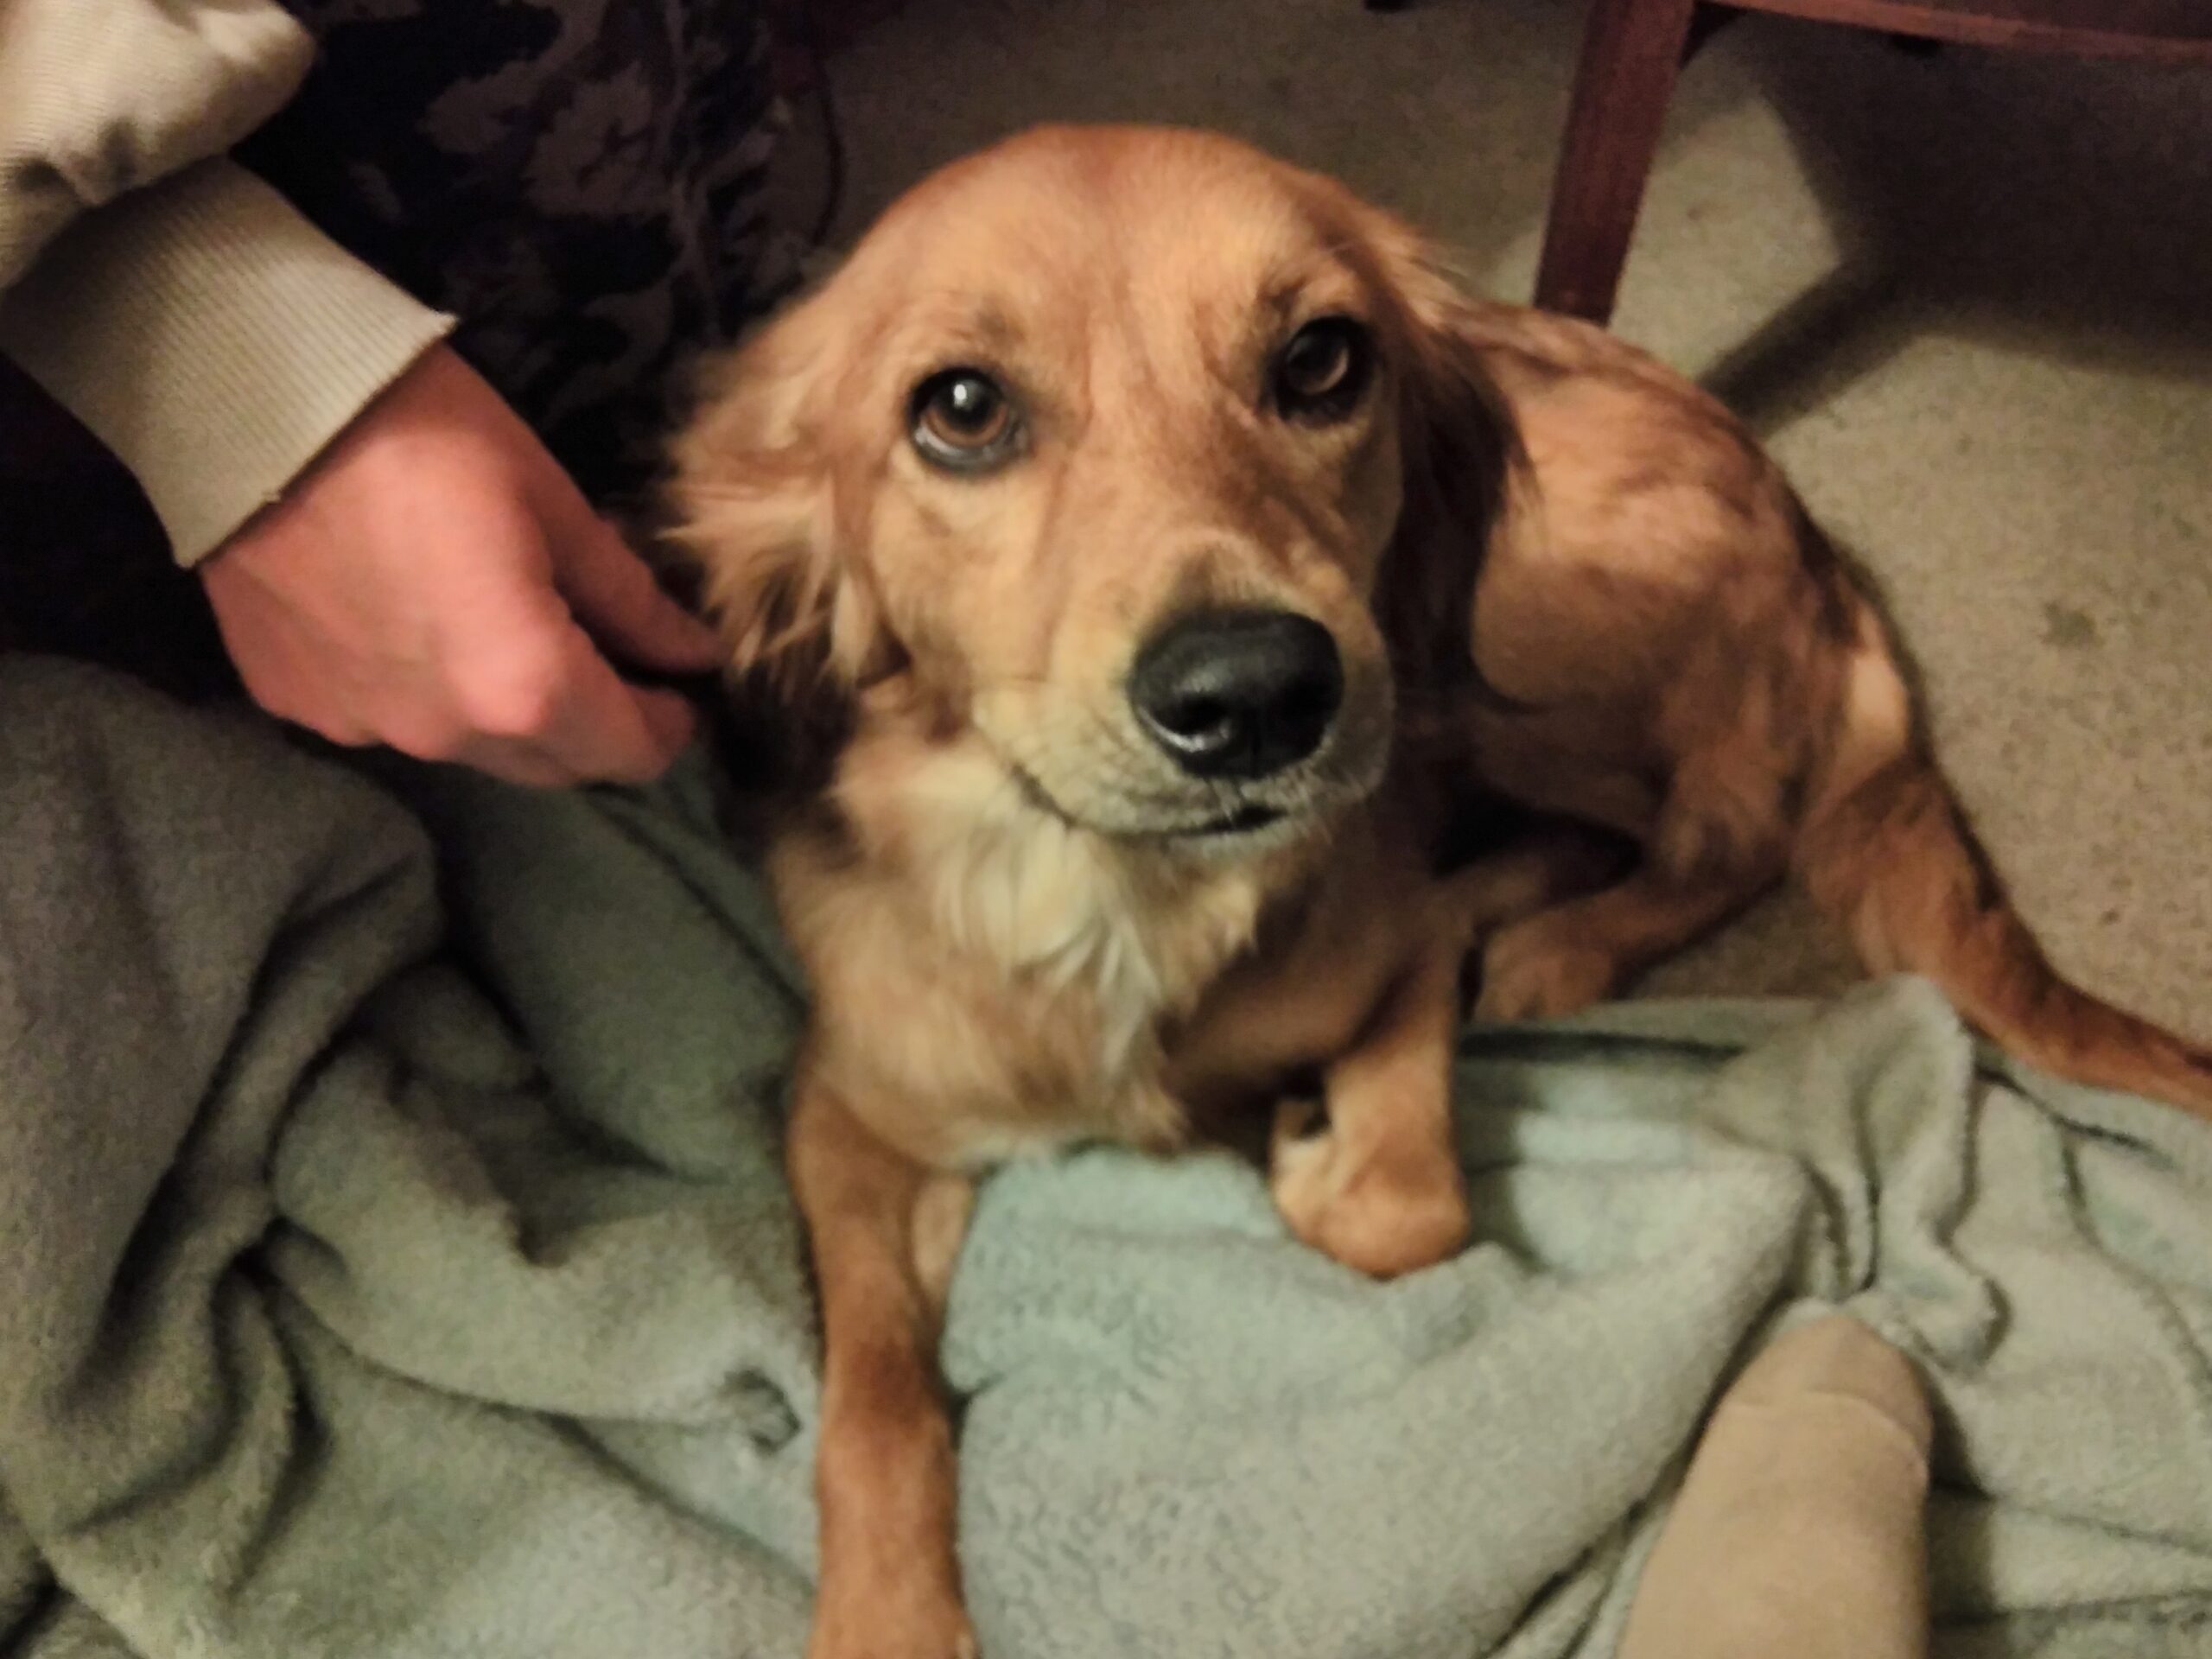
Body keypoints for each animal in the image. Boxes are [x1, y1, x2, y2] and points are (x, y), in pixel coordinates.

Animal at [668, 123, 2212, 1654]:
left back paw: (1558, 947)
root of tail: (1812, 545)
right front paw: (888, 1616)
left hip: (1491, 648)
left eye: (1320, 360)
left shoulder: (1392, 963)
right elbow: (873, 1403)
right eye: (963, 407)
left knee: (1722, 831)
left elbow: (1414, 1208)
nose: (1256, 694)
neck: (1122, 888)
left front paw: (1311, 1142)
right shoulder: (851, 1120)